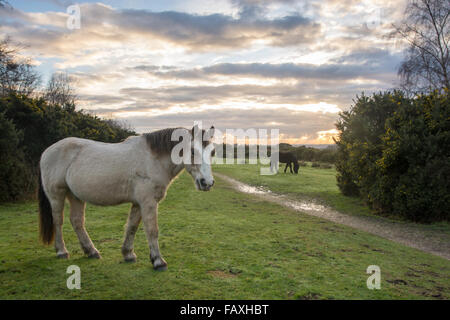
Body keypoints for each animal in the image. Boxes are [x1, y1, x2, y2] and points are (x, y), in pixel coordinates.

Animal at [37, 125, 216, 270]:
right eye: (192, 151)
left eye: (212, 152)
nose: (207, 182)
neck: (152, 160)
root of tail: (46, 152)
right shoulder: (148, 202)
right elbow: (152, 230)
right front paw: (158, 261)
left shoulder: (138, 203)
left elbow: (132, 227)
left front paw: (128, 254)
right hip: (57, 195)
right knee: (58, 221)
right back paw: (62, 251)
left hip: (75, 196)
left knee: (77, 222)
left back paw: (91, 251)